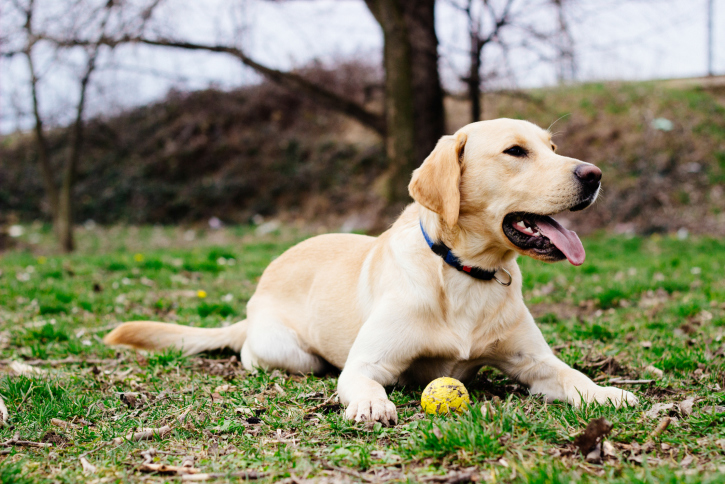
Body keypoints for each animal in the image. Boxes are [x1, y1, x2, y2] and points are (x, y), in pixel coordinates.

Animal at [104, 118, 636, 424]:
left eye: (553, 147)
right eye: (515, 152)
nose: (594, 175)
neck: (466, 273)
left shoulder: (535, 363)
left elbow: (572, 376)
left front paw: (606, 392)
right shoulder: (368, 362)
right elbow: (363, 380)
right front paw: (372, 403)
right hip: (290, 353)